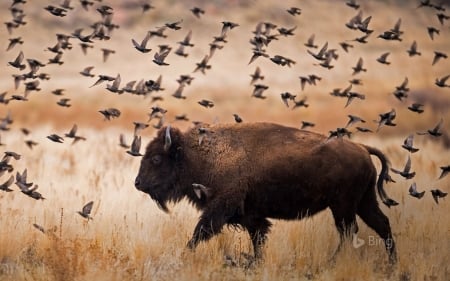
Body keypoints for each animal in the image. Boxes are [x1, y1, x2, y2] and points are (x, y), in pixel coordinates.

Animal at [134, 121, 398, 262]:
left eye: (156, 158)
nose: (138, 183)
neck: (197, 155)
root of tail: (362, 148)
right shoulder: (251, 216)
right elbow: (258, 238)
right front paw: (255, 262)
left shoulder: (220, 208)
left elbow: (200, 232)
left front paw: (184, 255)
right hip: (363, 202)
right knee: (381, 224)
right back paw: (390, 264)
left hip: (343, 206)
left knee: (349, 231)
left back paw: (332, 262)